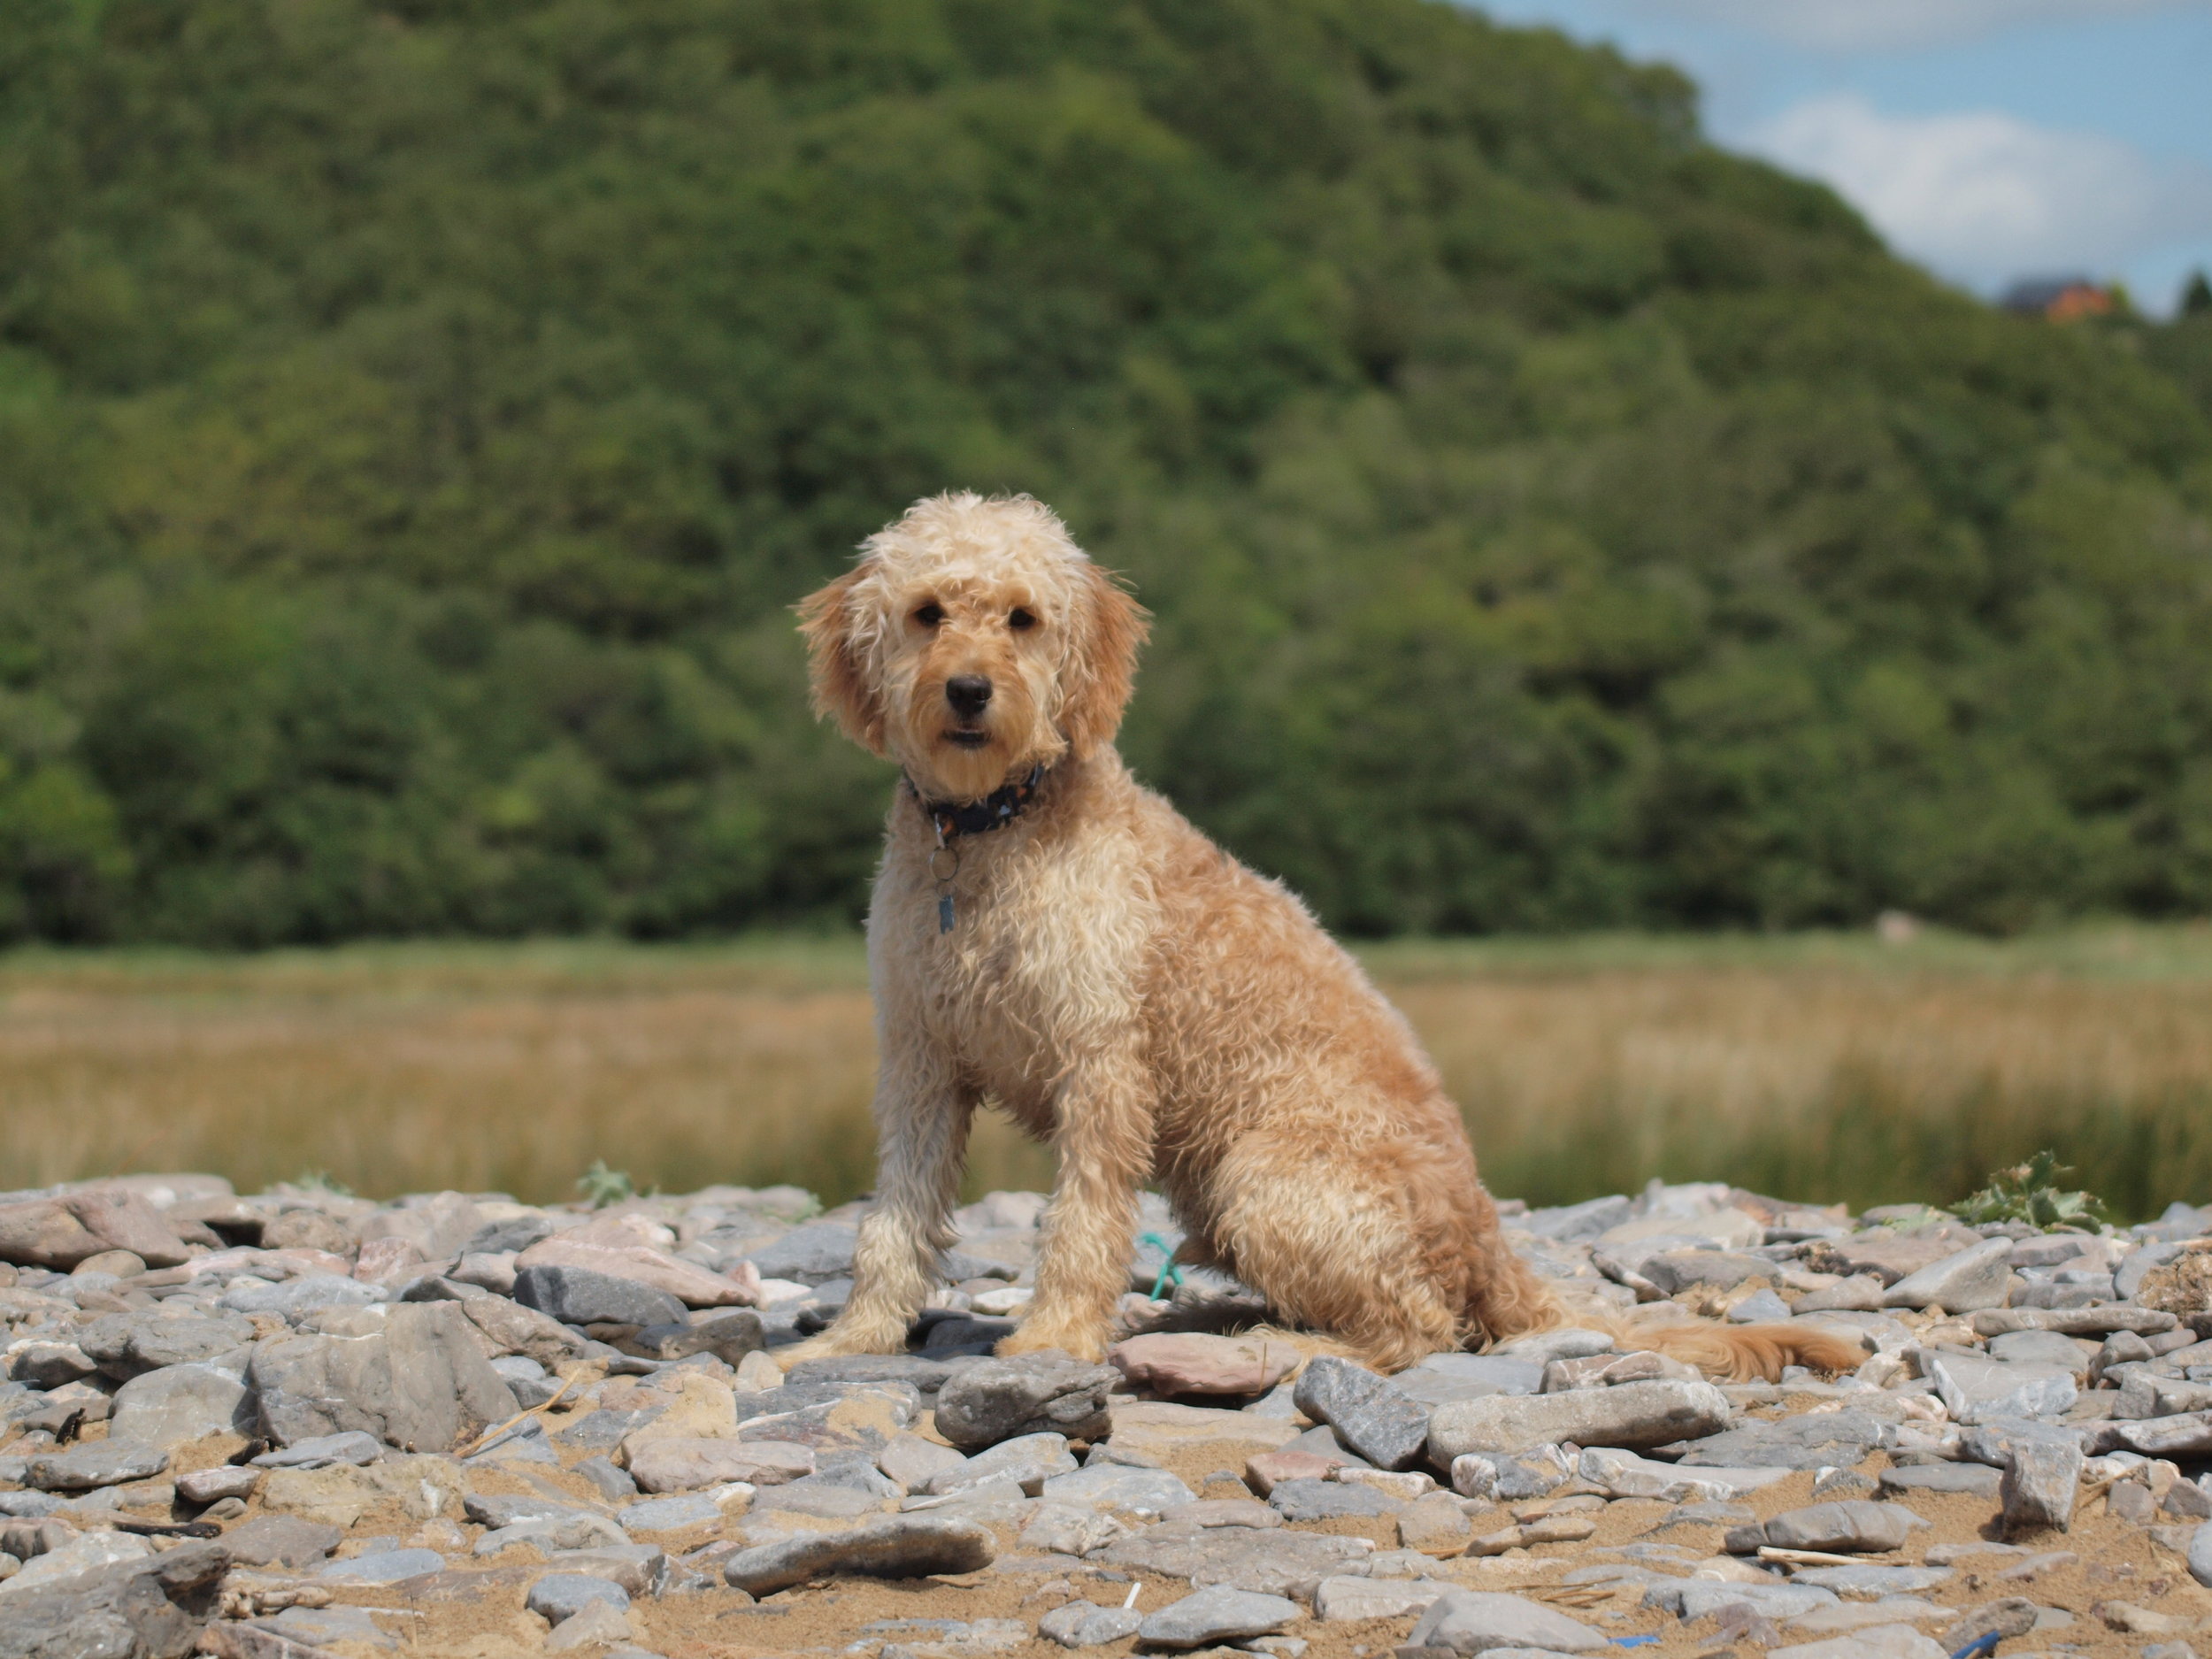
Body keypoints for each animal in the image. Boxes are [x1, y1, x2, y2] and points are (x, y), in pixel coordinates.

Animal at [787, 493, 1858, 1389]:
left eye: (1021, 618)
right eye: (929, 611)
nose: (969, 690)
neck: (984, 835)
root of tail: (1489, 1239)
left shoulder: (1101, 1065)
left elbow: (1085, 1220)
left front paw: (1052, 1338)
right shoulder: (920, 1060)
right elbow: (894, 1219)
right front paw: (854, 1339)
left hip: (1263, 1180)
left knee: (1415, 1329)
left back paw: (1266, 1346)